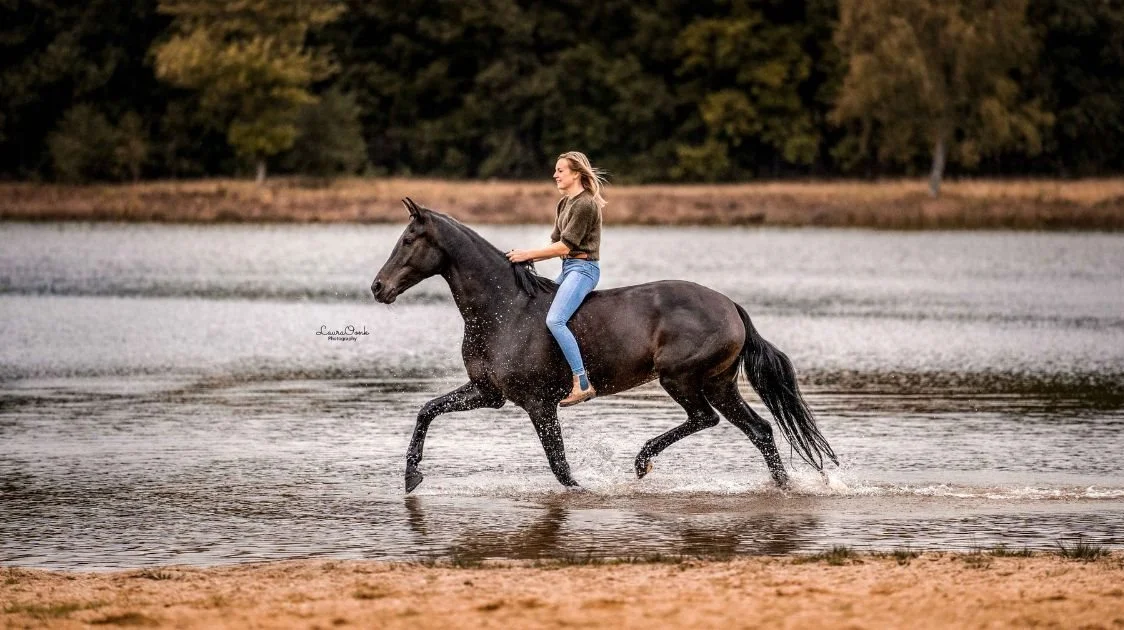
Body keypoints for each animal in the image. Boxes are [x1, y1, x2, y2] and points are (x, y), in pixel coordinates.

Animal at [370, 196, 836, 492]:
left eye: (408, 240)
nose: (378, 288)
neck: (503, 309)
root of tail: (732, 307)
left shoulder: (539, 404)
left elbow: (559, 466)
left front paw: (583, 491)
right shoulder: (488, 393)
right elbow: (427, 410)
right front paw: (411, 477)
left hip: (681, 379)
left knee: (707, 419)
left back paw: (643, 461)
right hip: (719, 384)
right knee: (759, 430)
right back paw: (783, 487)